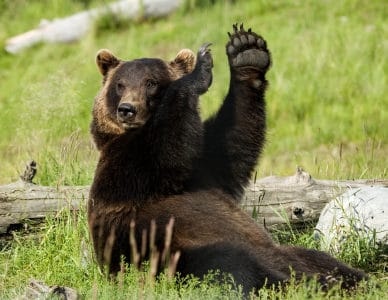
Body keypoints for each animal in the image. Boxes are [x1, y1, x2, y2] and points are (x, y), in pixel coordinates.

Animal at [88, 24, 366, 296]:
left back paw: (351, 280)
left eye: (151, 82)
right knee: (232, 266)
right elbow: (161, 150)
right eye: (120, 84)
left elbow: (233, 140)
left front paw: (246, 52)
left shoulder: (204, 166)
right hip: (176, 254)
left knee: (321, 260)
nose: (127, 109)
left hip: (288, 253)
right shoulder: (127, 169)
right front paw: (201, 68)